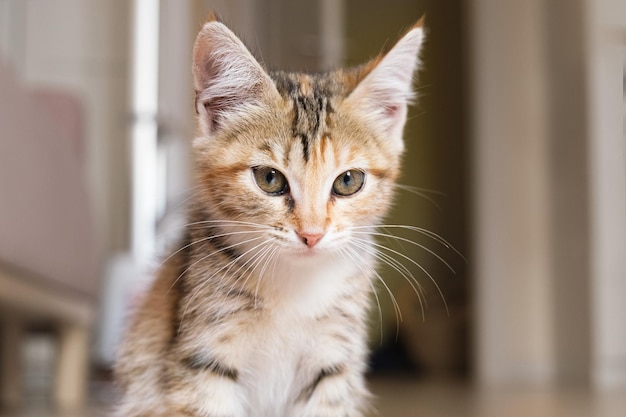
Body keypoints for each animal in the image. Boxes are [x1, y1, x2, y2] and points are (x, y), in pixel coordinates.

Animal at [114, 14, 422, 416]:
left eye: (348, 181)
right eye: (270, 179)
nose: (312, 234)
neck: (295, 286)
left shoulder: (334, 360)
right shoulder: (202, 357)